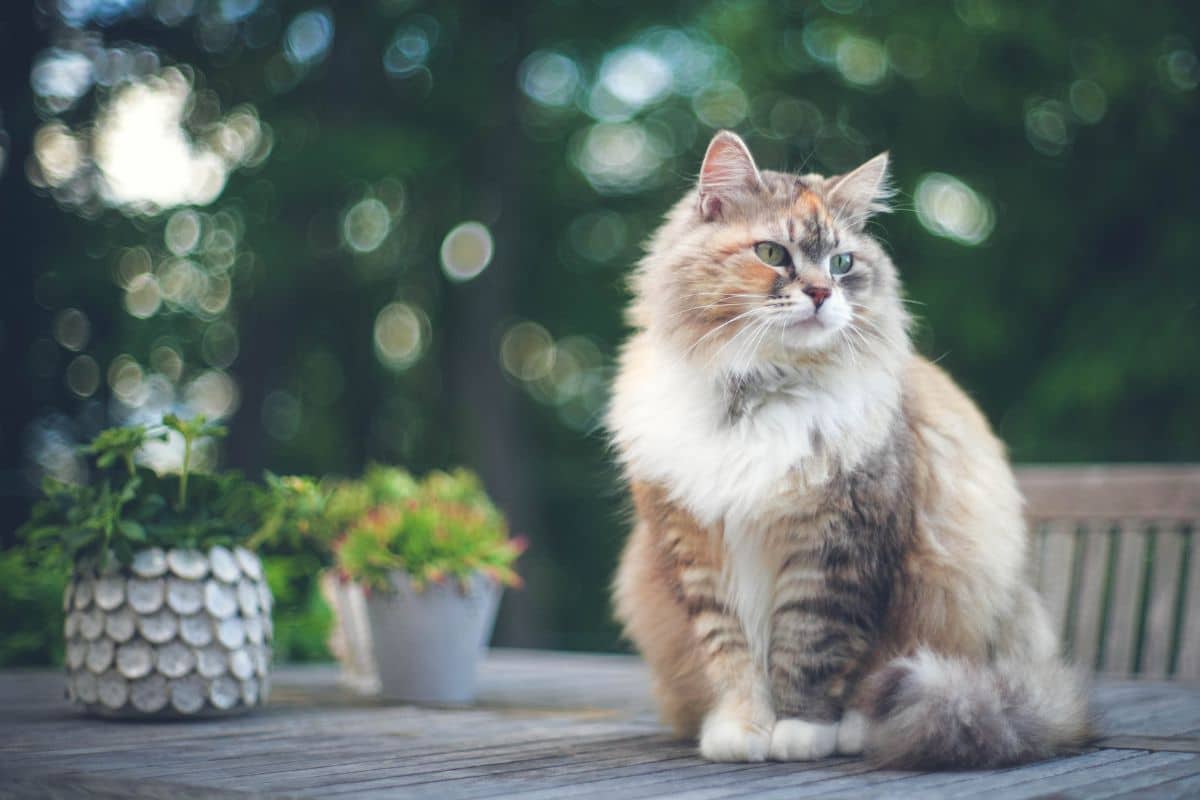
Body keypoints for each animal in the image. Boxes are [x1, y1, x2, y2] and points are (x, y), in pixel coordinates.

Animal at [609, 131, 1089, 767]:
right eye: (772, 253)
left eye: (842, 263)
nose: (819, 293)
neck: (758, 396)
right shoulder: (700, 554)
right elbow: (734, 659)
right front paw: (743, 729)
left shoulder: (837, 549)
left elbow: (809, 651)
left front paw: (800, 733)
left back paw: (861, 728)